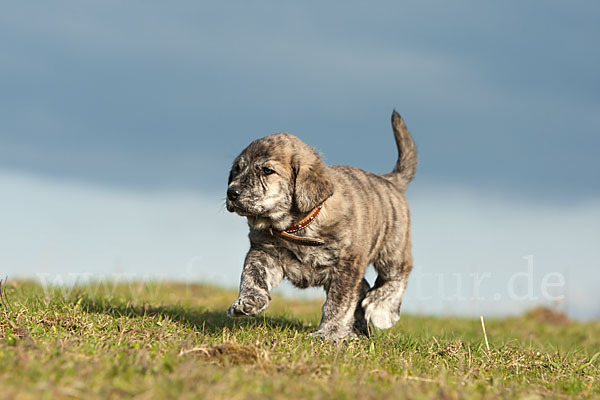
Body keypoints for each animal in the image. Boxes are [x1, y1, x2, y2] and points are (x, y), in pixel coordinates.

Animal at [225, 111, 418, 340]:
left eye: (267, 170)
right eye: (237, 169)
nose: (231, 192)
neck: (295, 225)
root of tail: (387, 180)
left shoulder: (347, 264)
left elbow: (339, 303)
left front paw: (329, 333)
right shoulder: (263, 252)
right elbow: (252, 276)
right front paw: (248, 301)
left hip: (393, 250)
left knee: (398, 274)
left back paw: (381, 309)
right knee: (363, 287)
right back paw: (358, 328)